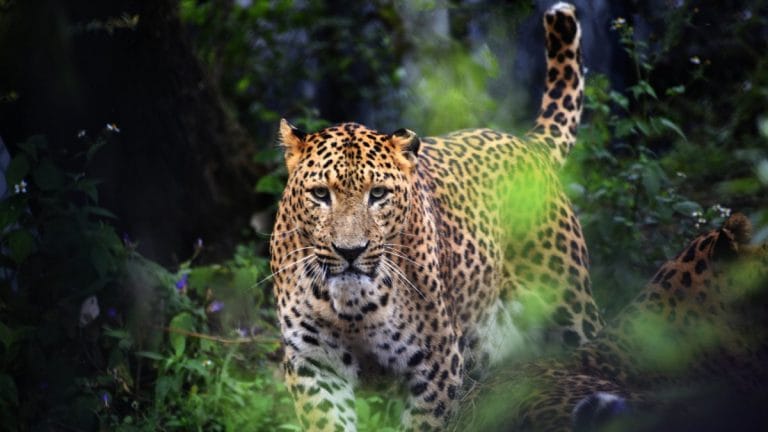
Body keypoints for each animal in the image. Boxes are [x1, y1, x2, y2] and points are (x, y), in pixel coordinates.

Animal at [269, 3, 601, 430]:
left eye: (378, 194)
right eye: (320, 194)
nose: (350, 252)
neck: (354, 309)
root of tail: (527, 145)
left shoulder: (435, 364)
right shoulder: (313, 364)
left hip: (568, 307)